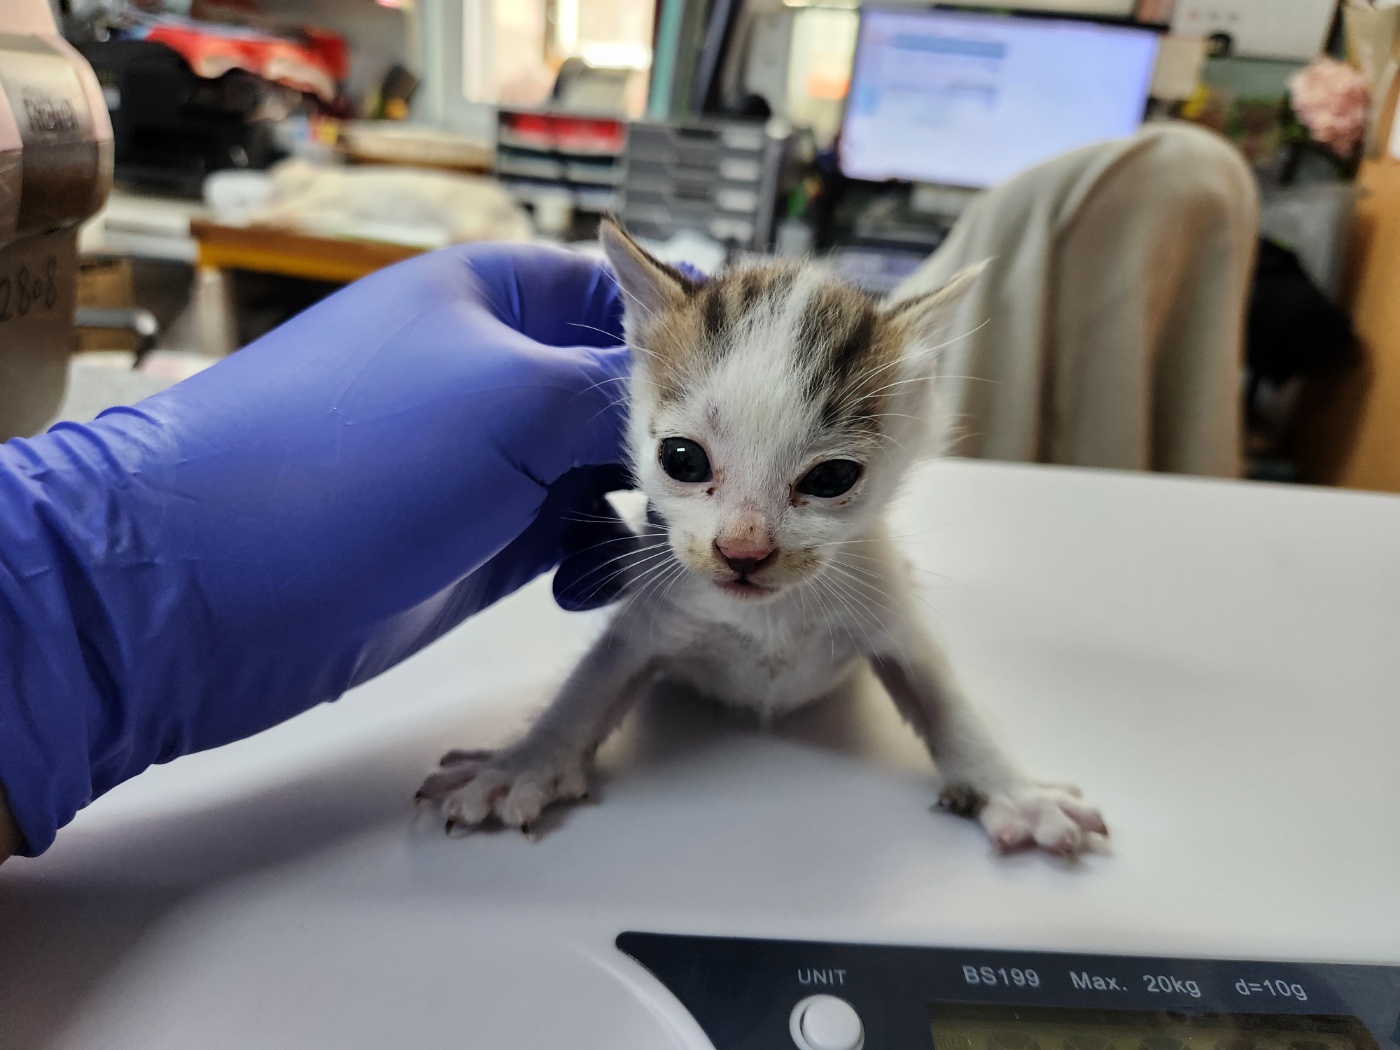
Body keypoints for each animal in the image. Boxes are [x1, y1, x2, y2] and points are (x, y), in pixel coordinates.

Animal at [414, 222, 1103, 856]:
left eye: (832, 478)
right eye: (683, 459)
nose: (743, 551)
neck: (769, 616)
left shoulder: (888, 609)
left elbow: (946, 697)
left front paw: (1015, 790)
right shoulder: (655, 612)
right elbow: (588, 686)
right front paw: (520, 765)